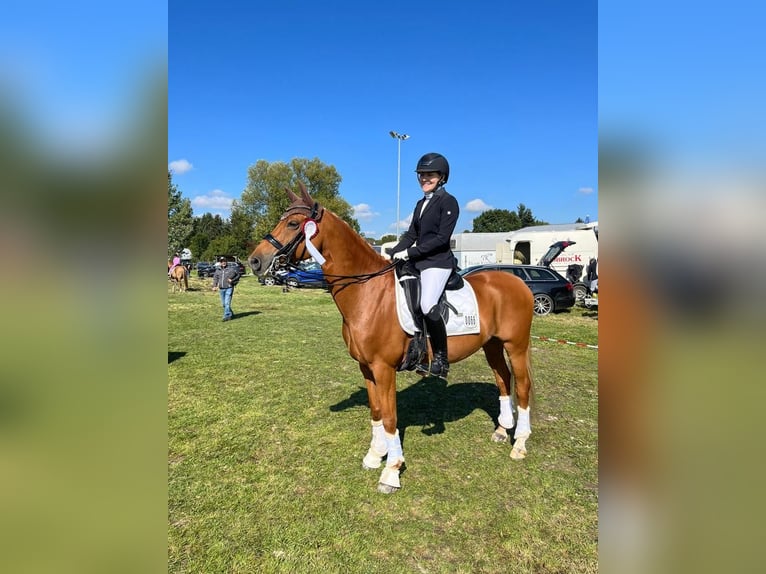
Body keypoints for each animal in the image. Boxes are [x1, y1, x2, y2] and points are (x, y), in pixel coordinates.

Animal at [249, 184, 536, 496]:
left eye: (292, 223)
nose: (255, 261)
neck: (368, 293)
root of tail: (519, 282)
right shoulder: (366, 367)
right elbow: (376, 412)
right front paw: (375, 455)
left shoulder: (384, 368)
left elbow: (389, 417)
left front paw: (391, 471)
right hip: (492, 345)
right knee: (503, 379)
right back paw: (502, 430)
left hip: (516, 346)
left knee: (522, 386)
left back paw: (520, 443)